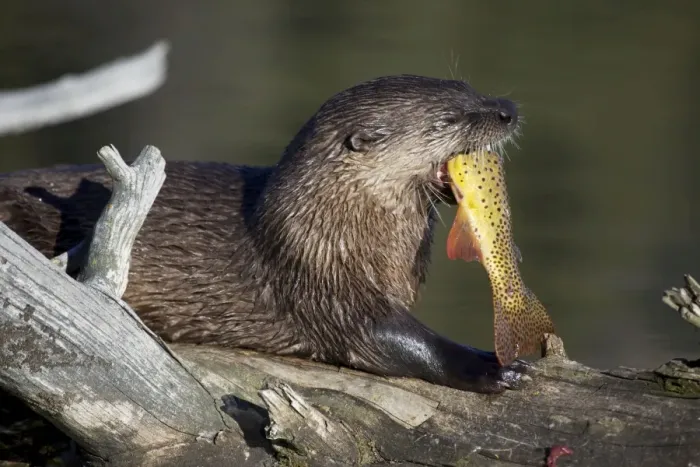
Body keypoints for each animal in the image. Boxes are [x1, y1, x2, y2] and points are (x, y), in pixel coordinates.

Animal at [0, 74, 526, 394]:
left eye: (470, 90)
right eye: (448, 119)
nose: (507, 109)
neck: (330, 223)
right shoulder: (321, 280)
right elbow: (393, 340)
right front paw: (495, 368)